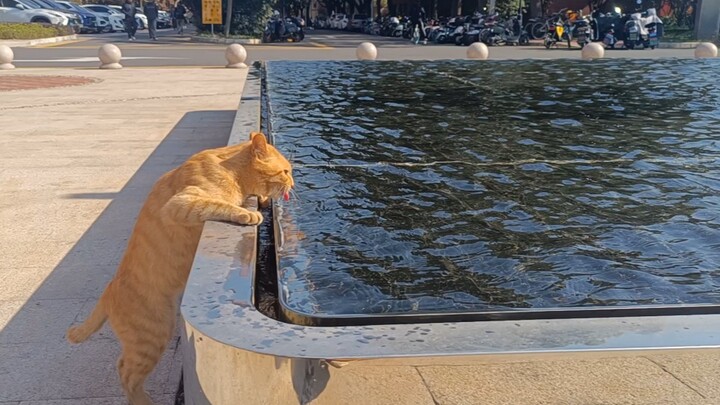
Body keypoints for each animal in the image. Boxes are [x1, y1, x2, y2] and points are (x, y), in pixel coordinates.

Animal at [66, 133, 294, 404]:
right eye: (285, 171)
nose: (293, 183)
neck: (231, 171)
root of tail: (109, 290)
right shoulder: (182, 203)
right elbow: (220, 204)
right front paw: (247, 213)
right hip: (152, 337)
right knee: (125, 372)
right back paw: (145, 401)